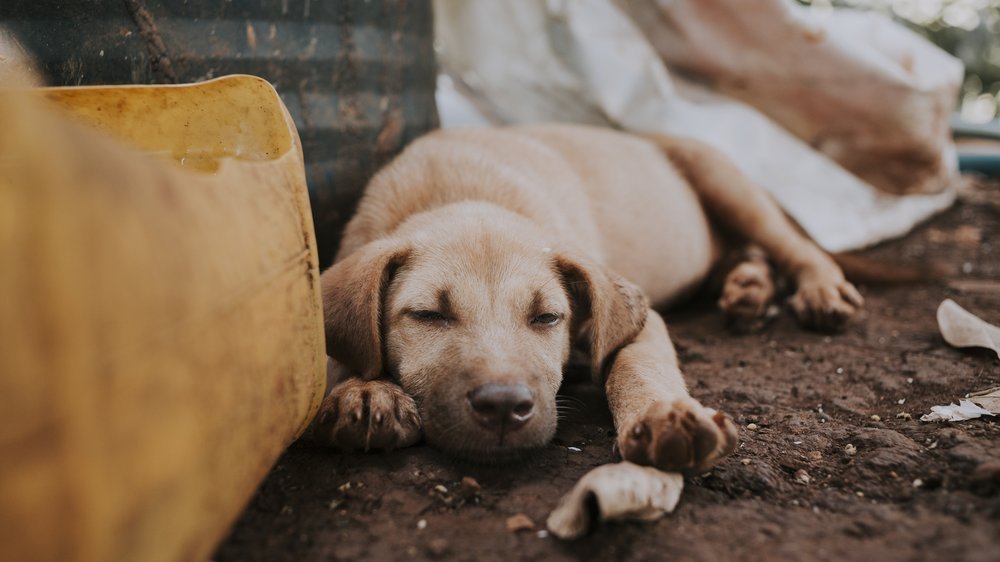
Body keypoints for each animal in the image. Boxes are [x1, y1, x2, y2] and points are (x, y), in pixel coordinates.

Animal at [312, 124, 860, 470]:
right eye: (428, 315)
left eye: (546, 317)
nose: (504, 408)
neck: (458, 193)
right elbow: (332, 351)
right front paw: (367, 391)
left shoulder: (637, 316)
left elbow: (635, 364)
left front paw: (662, 415)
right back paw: (748, 289)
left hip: (727, 182)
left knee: (792, 244)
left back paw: (819, 289)